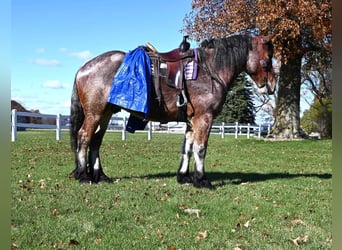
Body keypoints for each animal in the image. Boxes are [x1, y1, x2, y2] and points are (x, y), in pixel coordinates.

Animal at [69, 34, 278, 188]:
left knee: (96, 141)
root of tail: (83, 68)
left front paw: (184, 177)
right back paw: (84, 176)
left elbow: (187, 147)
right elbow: (200, 148)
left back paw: (100, 176)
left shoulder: (191, 120)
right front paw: (201, 180)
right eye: (268, 59)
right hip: (94, 114)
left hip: (105, 114)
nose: (272, 85)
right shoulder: (204, 117)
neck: (209, 70)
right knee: (84, 137)